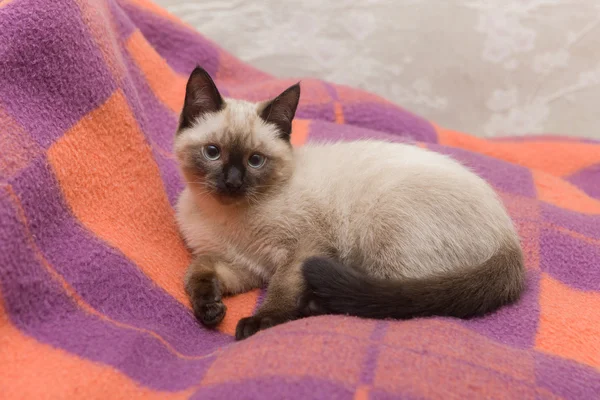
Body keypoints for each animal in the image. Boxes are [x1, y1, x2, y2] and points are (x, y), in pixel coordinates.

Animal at [173, 66, 524, 340]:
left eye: (255, 160)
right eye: (213, 152)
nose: (233, 183)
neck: (227, 218)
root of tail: (510, 241)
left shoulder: (302, 250)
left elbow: (282, 289)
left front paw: (258, 323)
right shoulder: (242, 267)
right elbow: (196, 272)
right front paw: (209, 309)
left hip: (381, 226)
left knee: (391, 299)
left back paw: (313, 304)